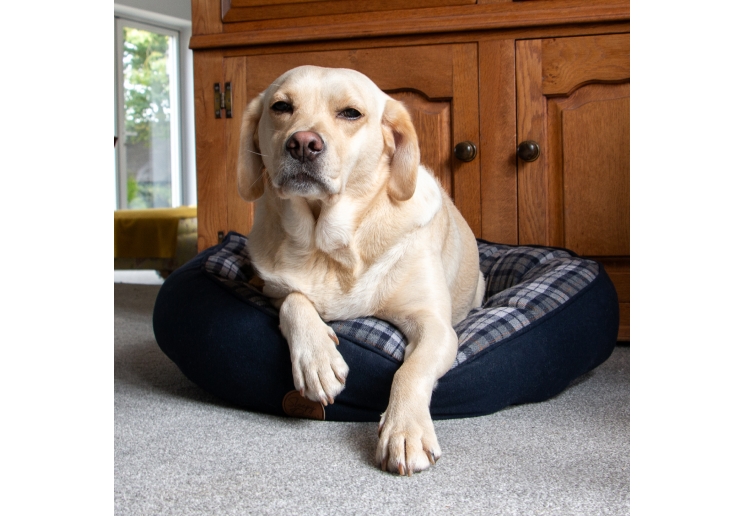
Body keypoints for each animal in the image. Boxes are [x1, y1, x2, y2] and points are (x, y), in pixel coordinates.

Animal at [235, 65, 486, 476]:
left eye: (351, 113)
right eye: (281, 107)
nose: (302, 143)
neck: (330, 247)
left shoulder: (435, 326)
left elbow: (410, 371)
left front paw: (405, 431)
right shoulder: (271, 289)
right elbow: (294, 302)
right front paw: (318, 360)